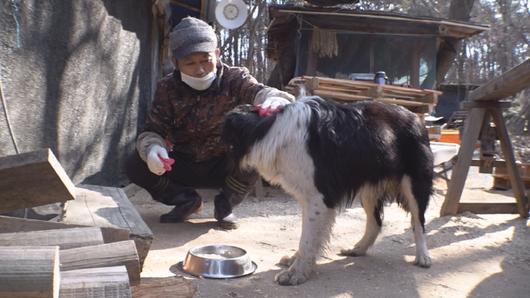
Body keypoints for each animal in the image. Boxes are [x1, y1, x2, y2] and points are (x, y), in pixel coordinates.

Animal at [221, 95, 432, 284]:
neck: (267, 128)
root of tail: (415, 116)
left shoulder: (318, 198)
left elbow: (307, 239)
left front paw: (296, 273)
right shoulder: (309, 199)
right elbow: (308, 237)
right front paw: (297, 262)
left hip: (414, 184)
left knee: (418, 222)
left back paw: (423, 256)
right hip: (368, 188)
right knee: (376, 222)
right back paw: (358, 249)